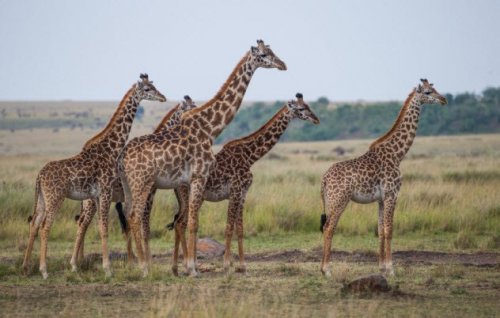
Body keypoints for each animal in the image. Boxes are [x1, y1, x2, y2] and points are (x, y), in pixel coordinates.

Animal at [22, 74, 166, 278]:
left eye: (153, 86)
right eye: (147, 89)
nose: (163, 97)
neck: (111, 148)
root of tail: (39, 176)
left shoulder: (98, 196)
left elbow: (99, 227)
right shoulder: (105, 191)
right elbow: (105, 228)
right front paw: (108, 269)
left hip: (42, 199)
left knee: (35, 224)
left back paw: (26, 268)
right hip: (55, 198)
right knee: (45, 227)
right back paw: (44, 271)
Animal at [70, 95, 195, 270]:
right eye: (191, 108)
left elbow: (132, 225)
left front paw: (134, 260)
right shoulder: (149, 194)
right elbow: (144, 227)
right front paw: (147, 261)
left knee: (81, 221)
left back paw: (81, 260)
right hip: (91, 200)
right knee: (83, 222)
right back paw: (77, 262)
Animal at [118, 39, 288, 276]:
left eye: (273, 51)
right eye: (263, 54)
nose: (283, 65)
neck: (210, 129)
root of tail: (123, 157)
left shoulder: (193, 180)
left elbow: (191, 221)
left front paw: (189, 267)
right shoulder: (199, 176)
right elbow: (192, 223)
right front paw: (192, 269)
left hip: (129, 185)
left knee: (130, 216)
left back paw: (136, 265)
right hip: (142, 182)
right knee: (136, 217)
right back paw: (144, 268)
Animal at [168, 92, 318, 274]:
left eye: (309, 105)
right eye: (301, 108)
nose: (316, 119)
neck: (250, 157)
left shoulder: (243, 194)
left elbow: (240, 229)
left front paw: (242, 265)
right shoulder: (235, 192)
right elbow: (228, 228)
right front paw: (227, 265)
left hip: (194, 198)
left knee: (180, 223)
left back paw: (181, 266)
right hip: (189, 195)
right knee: (181, 223)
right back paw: (183, 266)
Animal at [320, 79, 450, 276]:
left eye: (434, 88)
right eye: (428, 92)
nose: (443, 99)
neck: (398, 154)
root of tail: (324, 179)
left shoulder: (381, 199)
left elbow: (381, 230)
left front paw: (381, 267)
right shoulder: (392, 194)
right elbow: (390, 229)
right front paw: (391, 269)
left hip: (330, 200)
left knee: (327, 226)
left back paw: (324, 268)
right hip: (339, 199)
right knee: (329, 228)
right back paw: (326, 270)